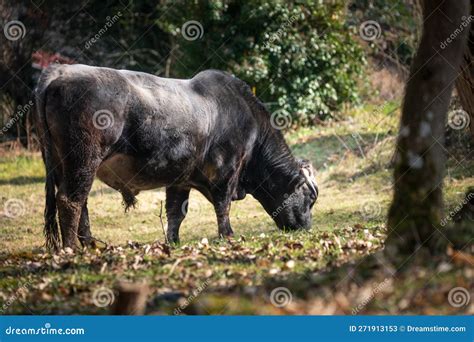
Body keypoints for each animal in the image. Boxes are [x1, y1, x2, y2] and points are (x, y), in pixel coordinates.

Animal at [35, 64, 318, 250]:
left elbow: (175, 213)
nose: (307, 227)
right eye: (310, 198)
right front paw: (227, 235)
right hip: (83, 160)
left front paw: (172, 241)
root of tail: (59, 71)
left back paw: (91, 244)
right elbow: (222, 206)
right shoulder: (226, 172)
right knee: (70, 201)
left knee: (80, 202)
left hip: (64, 165)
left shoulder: (180, 179)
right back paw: (73, 248)